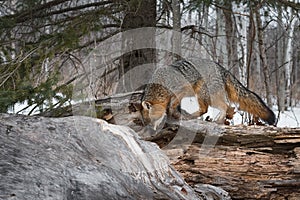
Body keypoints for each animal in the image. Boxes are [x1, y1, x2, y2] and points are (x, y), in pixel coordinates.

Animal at [139, 58, 276, 130]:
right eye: (145, 122)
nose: (150, 131)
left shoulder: (181, 90)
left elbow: (173, 105)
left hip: (204, 94)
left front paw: (175, 114)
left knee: (217, 107)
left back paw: (212, 119)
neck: (161, 84)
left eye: (151, 120)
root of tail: (222, 68)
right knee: (216, 108)